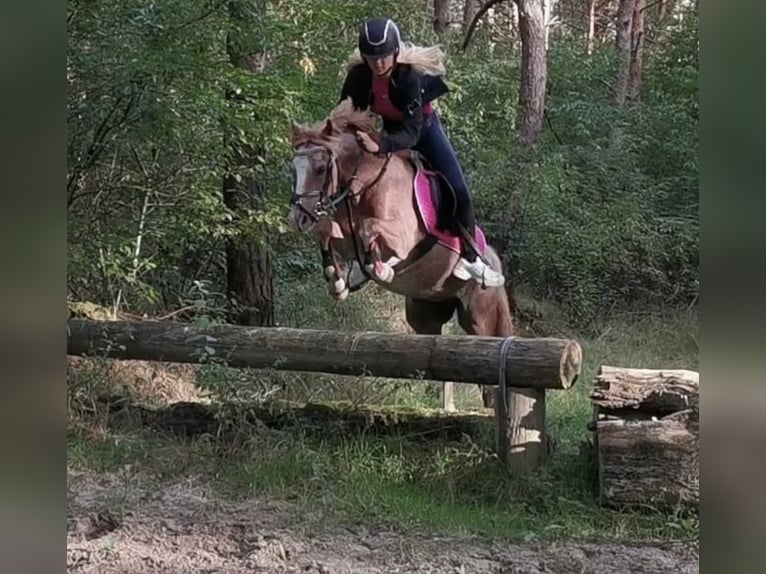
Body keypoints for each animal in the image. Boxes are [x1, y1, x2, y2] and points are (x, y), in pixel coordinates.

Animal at [288, 99, 515, 410]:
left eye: (321, 168)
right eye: (294, 169)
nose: (298, 218)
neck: (365, 184)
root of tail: (493, 259)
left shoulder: (403, 237)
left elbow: (371, 232)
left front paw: (379, 269)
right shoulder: (342, 235)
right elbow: (327, 230)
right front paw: (338, 281)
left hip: (480, 314)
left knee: (489, 345)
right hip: (424, 312)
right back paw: (448, 406)